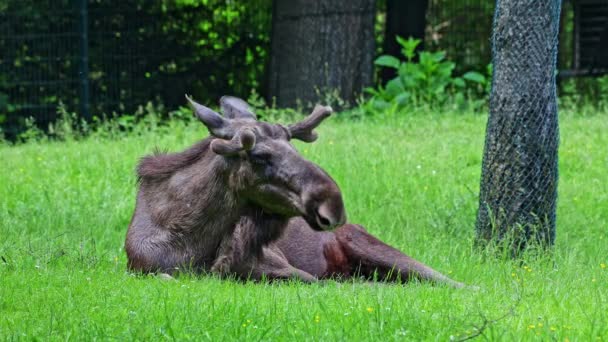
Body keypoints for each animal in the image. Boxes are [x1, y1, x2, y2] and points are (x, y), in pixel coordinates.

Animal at [123, 95, 466, 288]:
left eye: (293, 146)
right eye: (259, 156)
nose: (333, 204)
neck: (190, 242)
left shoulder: (289, 270)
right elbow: (167, 277)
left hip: (372, 247)